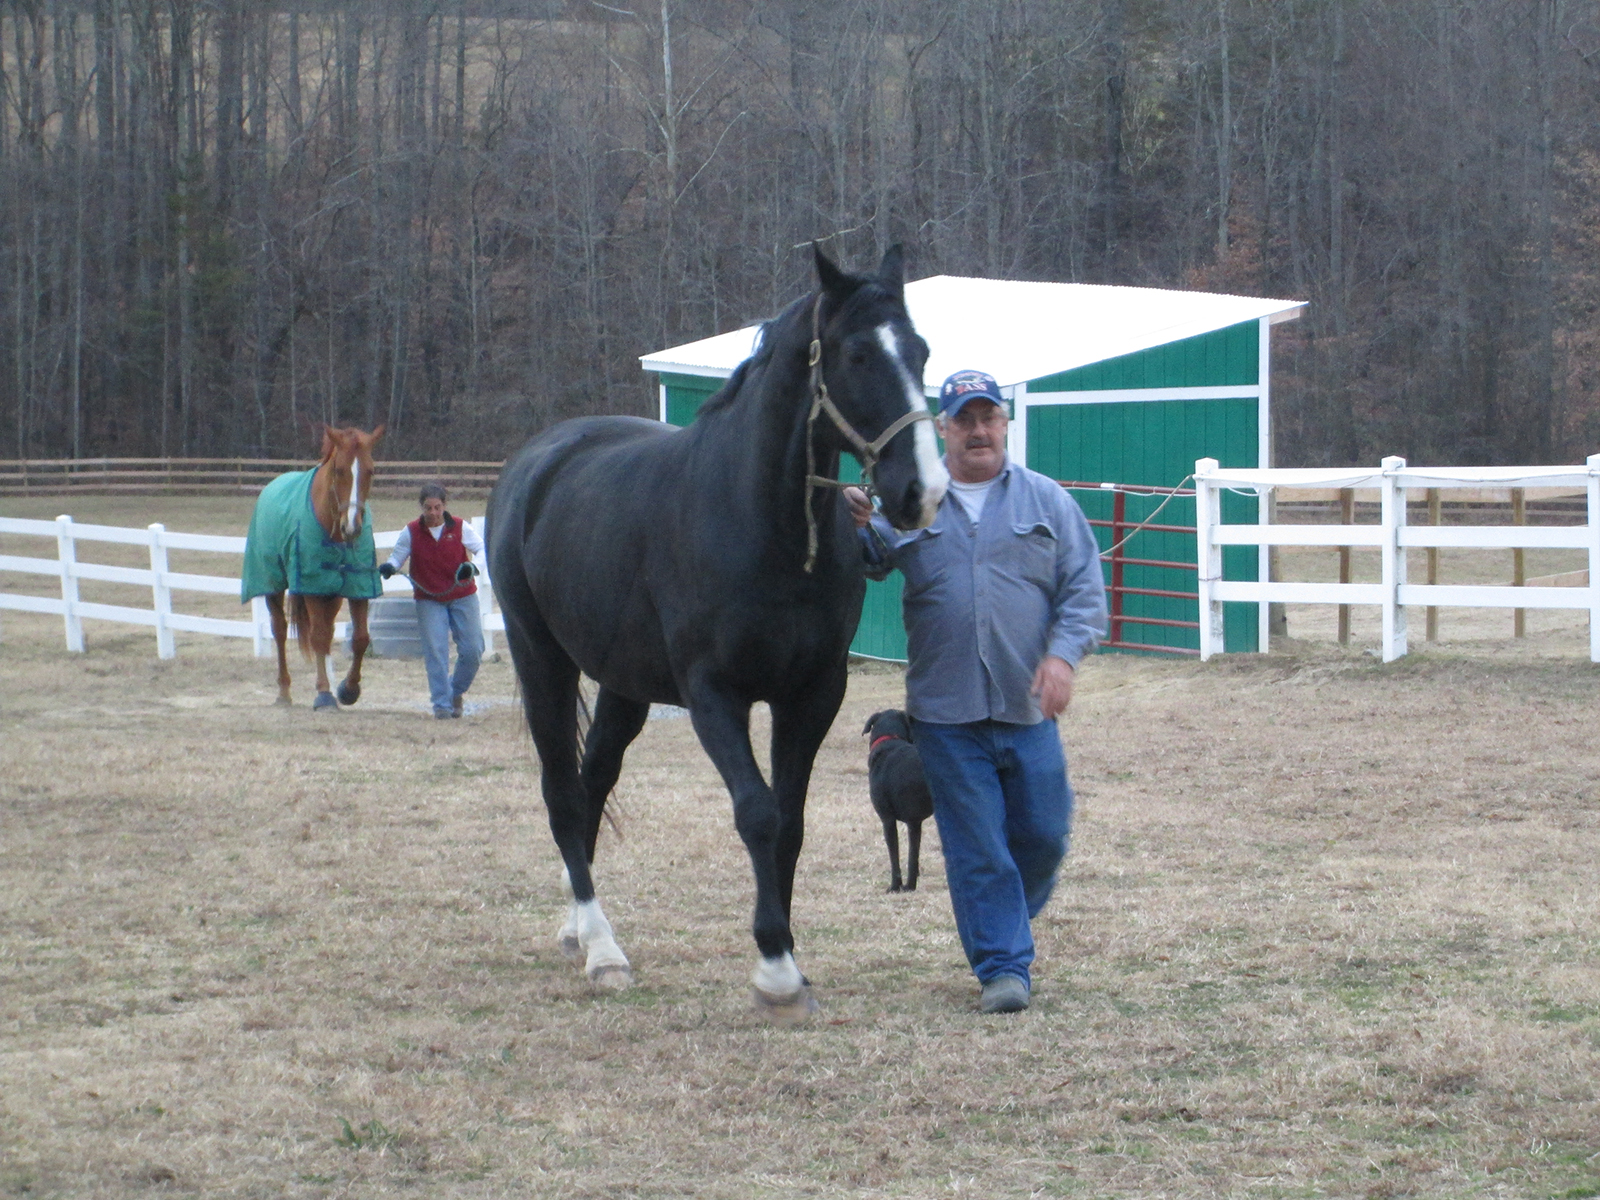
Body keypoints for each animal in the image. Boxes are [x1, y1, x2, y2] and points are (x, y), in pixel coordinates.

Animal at [241, 425, 385, 710]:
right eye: (339, 470)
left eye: (370, 470)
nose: (352, 527)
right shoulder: (311, 586)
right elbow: (317, 636)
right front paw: (324, 693)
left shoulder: (356, 587)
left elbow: (360, 638)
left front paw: (348, 690)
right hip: (275, 586)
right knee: (280, 630)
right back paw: (284, 692)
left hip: (332, 595)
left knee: (328, 631)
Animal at [486, 245, 948, 1020]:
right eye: (857, 354)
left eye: (920, 352)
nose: (923, 492)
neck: (764, 524)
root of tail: (537, 459)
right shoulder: (713, 695)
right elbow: (757, 813)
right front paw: (776, 970)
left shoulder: (812, 694)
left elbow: (790, 823)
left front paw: (790, 958)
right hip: (540, 658)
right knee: (560, 791)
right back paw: (603, 950)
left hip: (623, 685)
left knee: (592, 780)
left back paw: (579, 930)